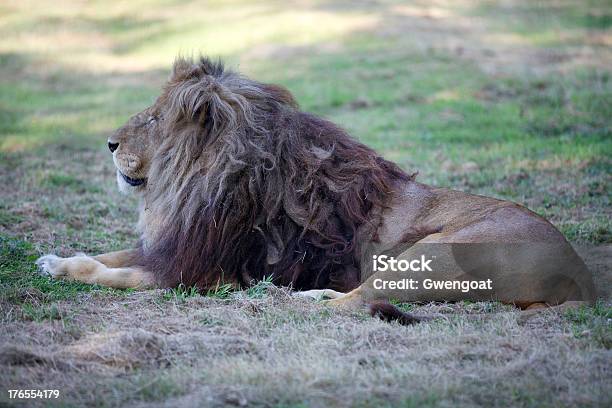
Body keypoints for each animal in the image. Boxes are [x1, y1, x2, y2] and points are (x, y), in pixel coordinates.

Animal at [35, 57, 596, 324]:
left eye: (152, 119)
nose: (108, 143)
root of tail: (580, 276)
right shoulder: (176, 246)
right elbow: (110, 253)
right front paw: (54, 259)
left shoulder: (198, 272)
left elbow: (111, 271)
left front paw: (68, 268)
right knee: (356, 296)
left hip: (434, 254)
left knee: (358, 302)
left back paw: (286, 299)